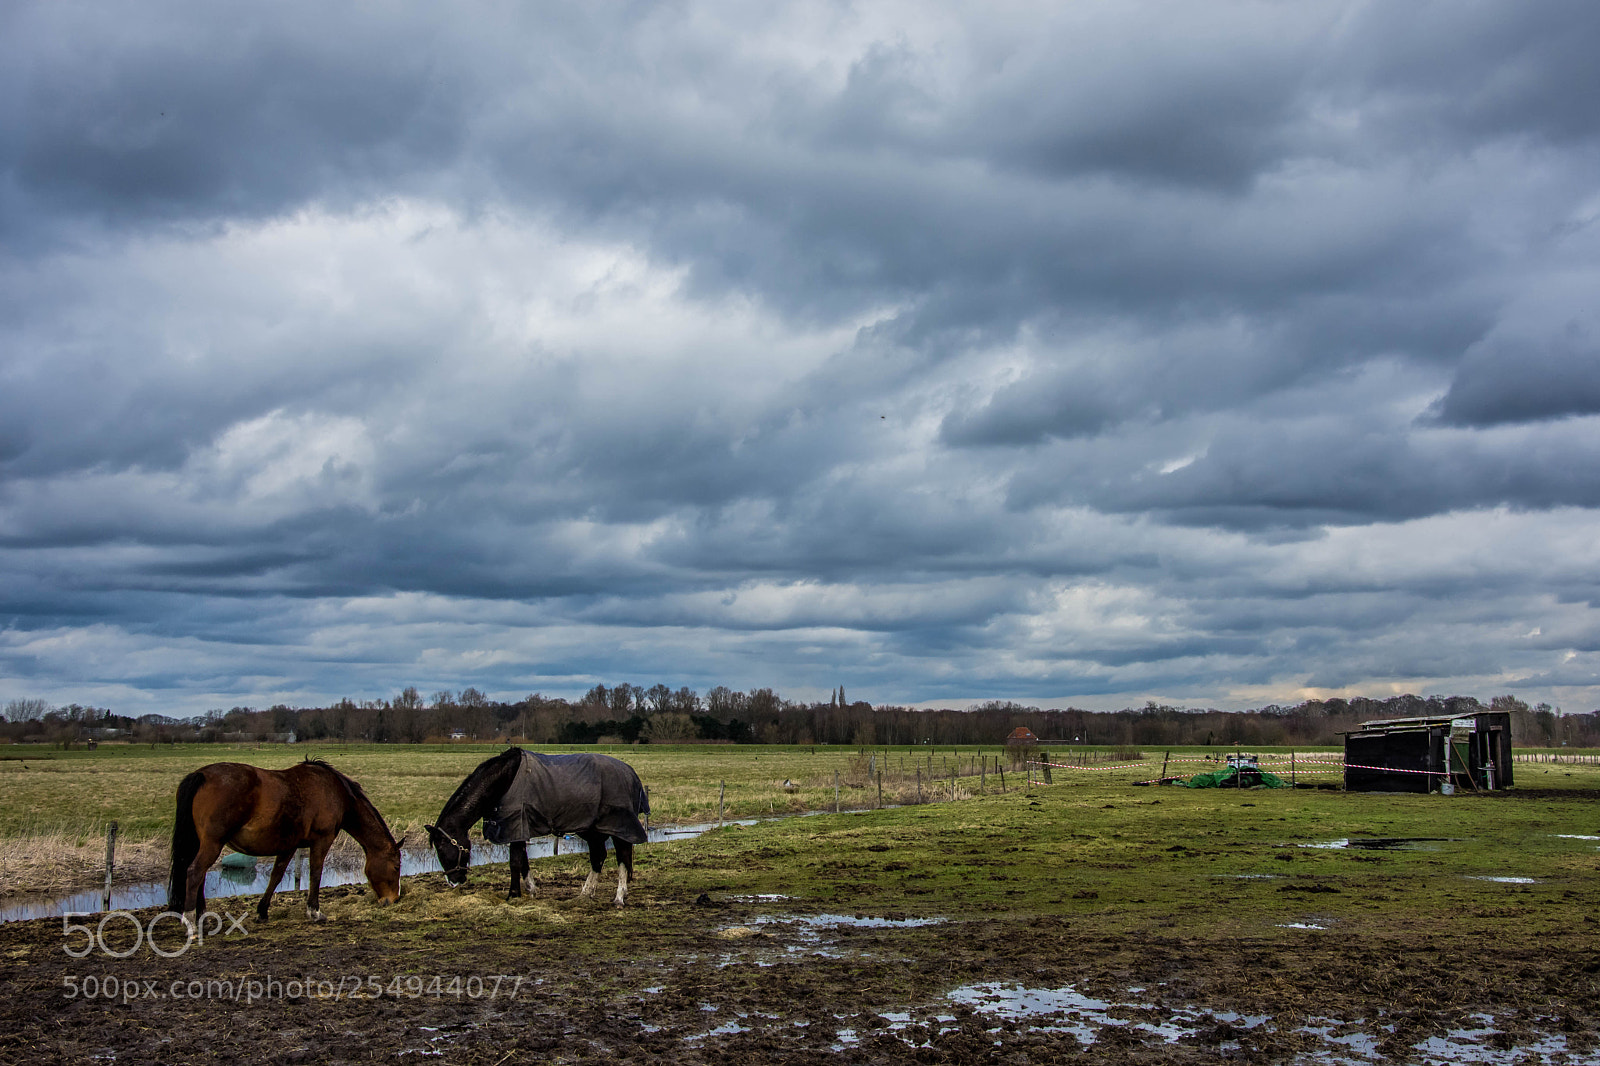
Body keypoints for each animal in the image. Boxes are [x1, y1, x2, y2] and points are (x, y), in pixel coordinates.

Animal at [168, 759, 402, 924]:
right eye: (396, 866)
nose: (394, 899)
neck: (336, 792)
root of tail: (201, 775)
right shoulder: (322, 840)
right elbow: (315, 873)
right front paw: (314, 911)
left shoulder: (289, 845)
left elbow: (276, 875)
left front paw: (262, 911)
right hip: (212, 844)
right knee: (195, 872)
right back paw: (190, 921)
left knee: (198, 875)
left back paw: (202, 917)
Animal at [425, 747, 649, 907]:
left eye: (442, 848)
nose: (454, 881)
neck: (504, 780)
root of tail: (630, 772)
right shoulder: (518, 830)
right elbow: (523, 862)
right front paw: (530, 890)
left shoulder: (517, 827)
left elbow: (515, 862)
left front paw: (513, 895)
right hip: (591, 829)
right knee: (598, 856)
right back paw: (586, 893)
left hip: (618, 827)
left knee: (622, 857)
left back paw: (619, 898)